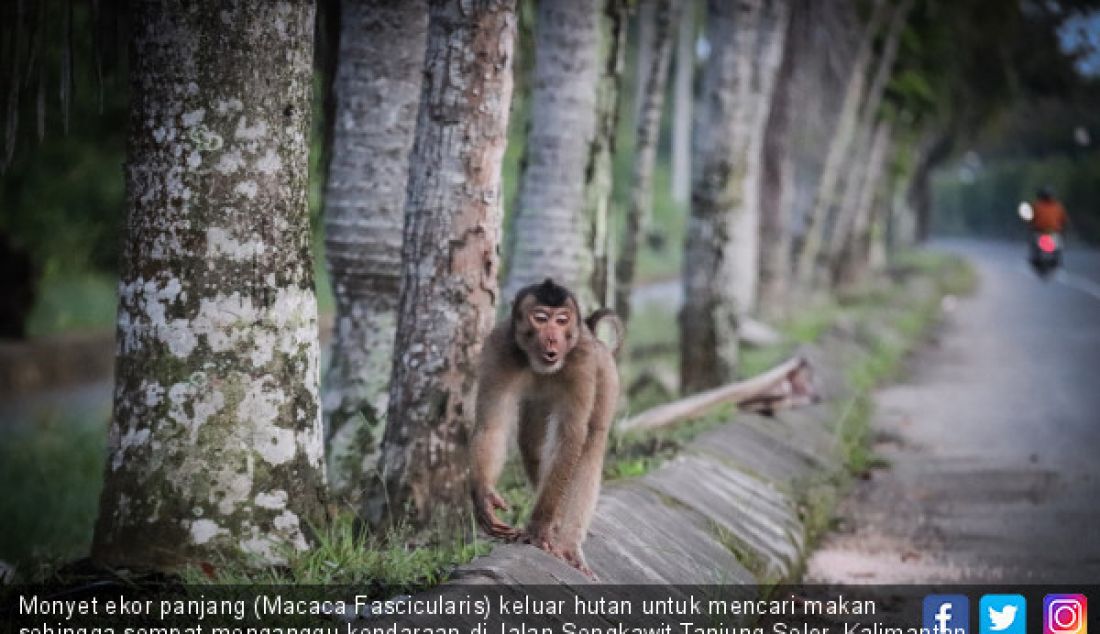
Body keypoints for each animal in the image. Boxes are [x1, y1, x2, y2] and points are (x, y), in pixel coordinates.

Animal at [470, 279, 624, 576]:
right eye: (540, 318)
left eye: (561, 320)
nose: (552, 339)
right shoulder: (499, 349)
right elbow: (492, 425)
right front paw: (483, 497)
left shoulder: (582, 363)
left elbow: (570, 436)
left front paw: (539, 527)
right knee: (531, 444)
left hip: (605, 373)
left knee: (590, 445)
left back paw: (568, 545)